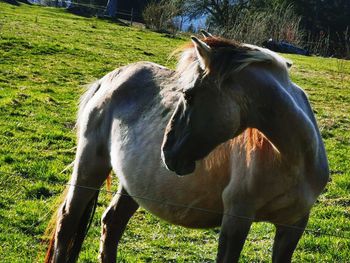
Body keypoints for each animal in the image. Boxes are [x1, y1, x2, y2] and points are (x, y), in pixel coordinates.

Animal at [43, 32, 328, 262]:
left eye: (189, 95)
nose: (167, 154)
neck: (292, 160)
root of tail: (110, 78)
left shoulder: (293, 226)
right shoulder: (236, 220)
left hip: (133, 184)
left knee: (112, 224)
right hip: (90, 164)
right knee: (67, 221)